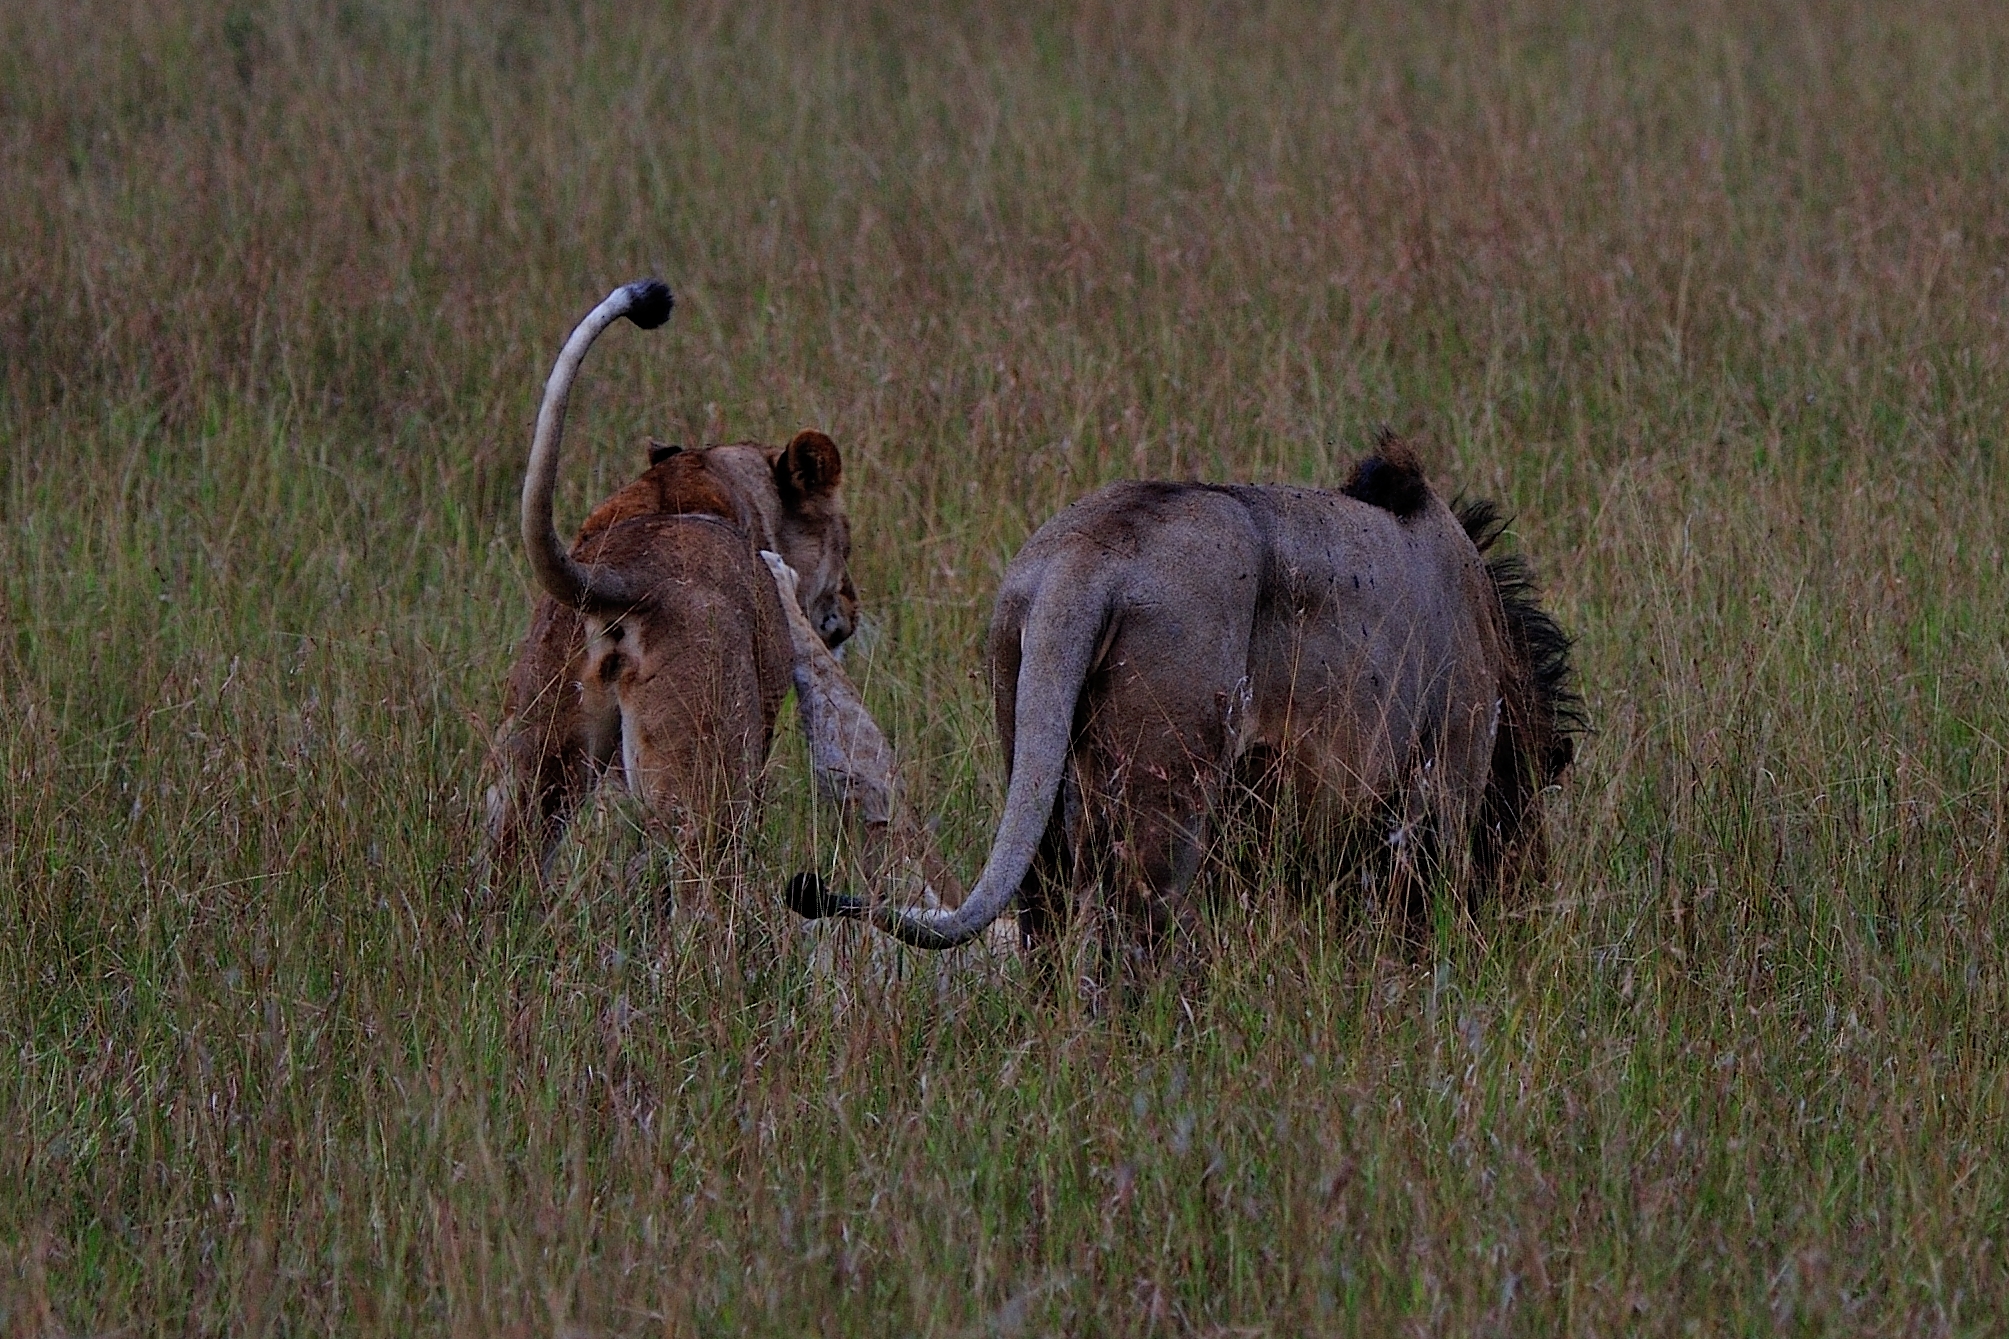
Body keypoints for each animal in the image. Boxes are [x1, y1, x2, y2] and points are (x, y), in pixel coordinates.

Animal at [783, 435, 1583, 967]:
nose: (1528, 906)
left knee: (1047, 924)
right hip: (1169, 792)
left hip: (1033, 759)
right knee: (1134, 938)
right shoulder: (1440, 790)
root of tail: (1086, 557)